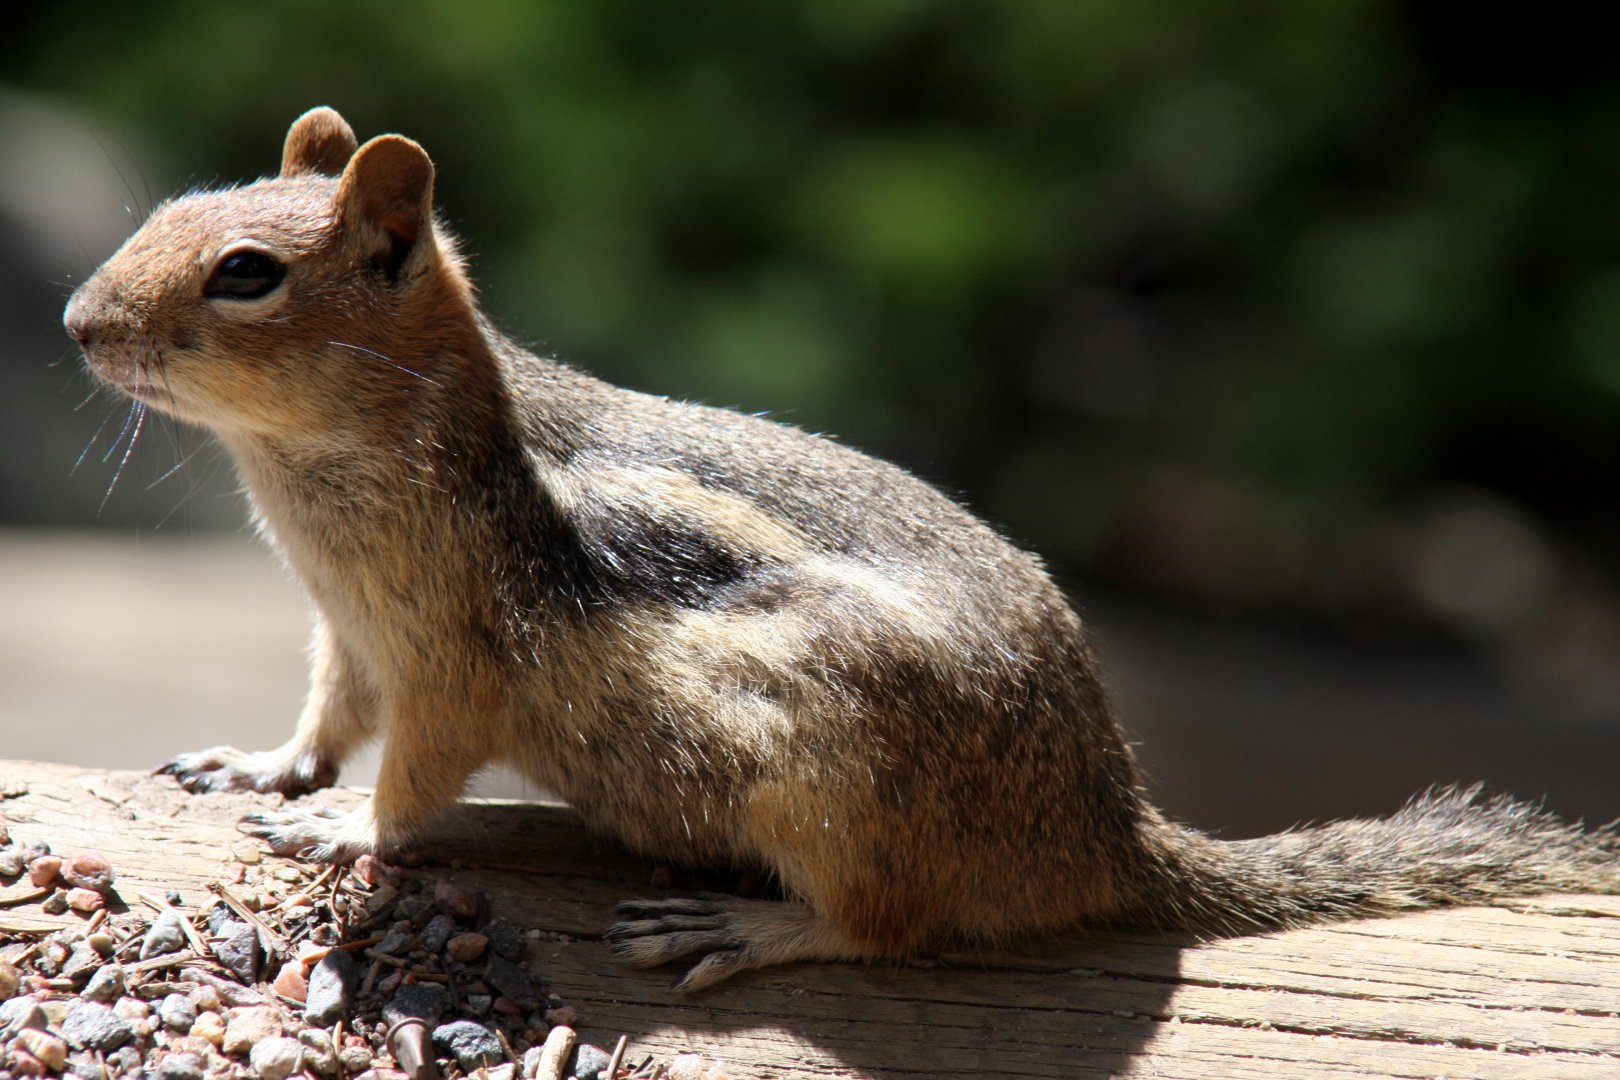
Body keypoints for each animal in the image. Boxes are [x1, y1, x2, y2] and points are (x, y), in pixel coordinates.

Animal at [65, 108, 1620, 990]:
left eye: (247, 274)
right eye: (169, 211)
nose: (77, 325)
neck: (328, 478)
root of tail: (1109, 831)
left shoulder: (454, 652)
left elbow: (415, 774)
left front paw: (342, 829)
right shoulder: (347, 631)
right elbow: (328, 716)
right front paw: (263, 766)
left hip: (825, 758)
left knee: (895, 924)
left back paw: (746, 933)